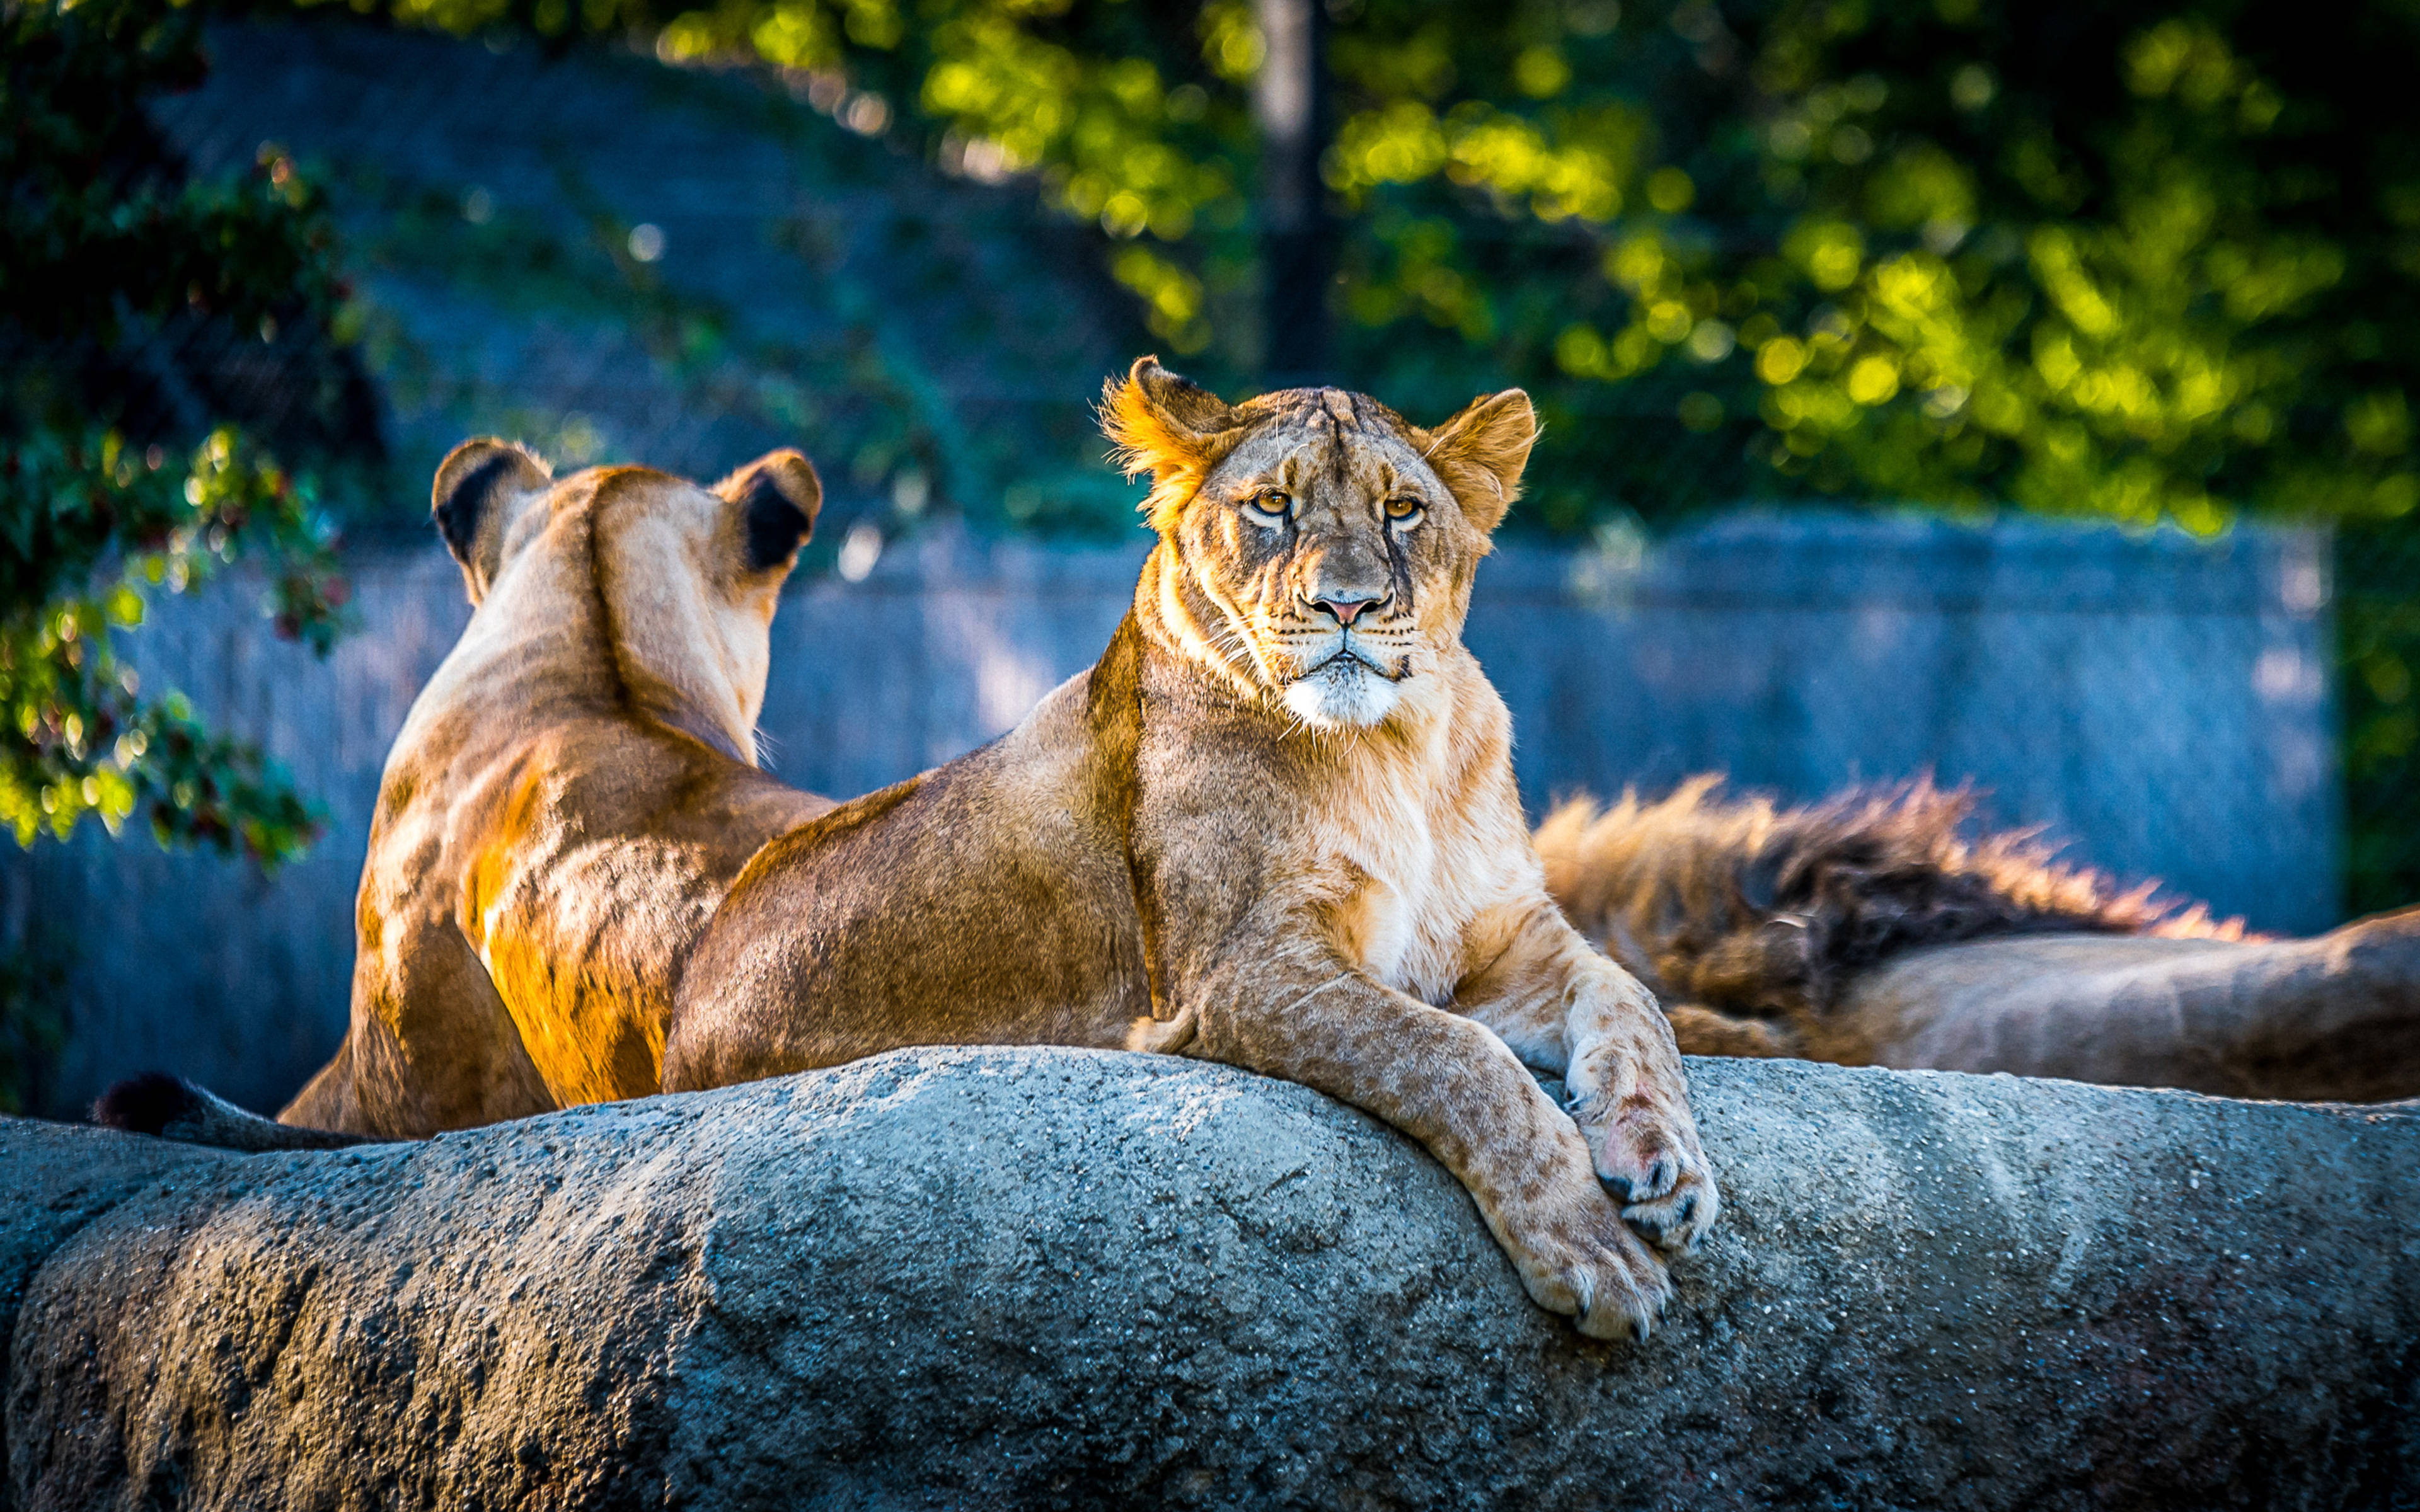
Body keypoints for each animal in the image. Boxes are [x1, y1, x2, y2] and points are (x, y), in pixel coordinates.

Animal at [661, 359, 1719, 1340]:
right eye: (1273, 506)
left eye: (1403, 510)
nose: (1347, 605)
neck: (1397, 748)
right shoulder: (1241, 971)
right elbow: (1459, 1060)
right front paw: (1591, 1248)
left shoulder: (1495, 938)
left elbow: (1632, 997)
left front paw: (1663, 1165)